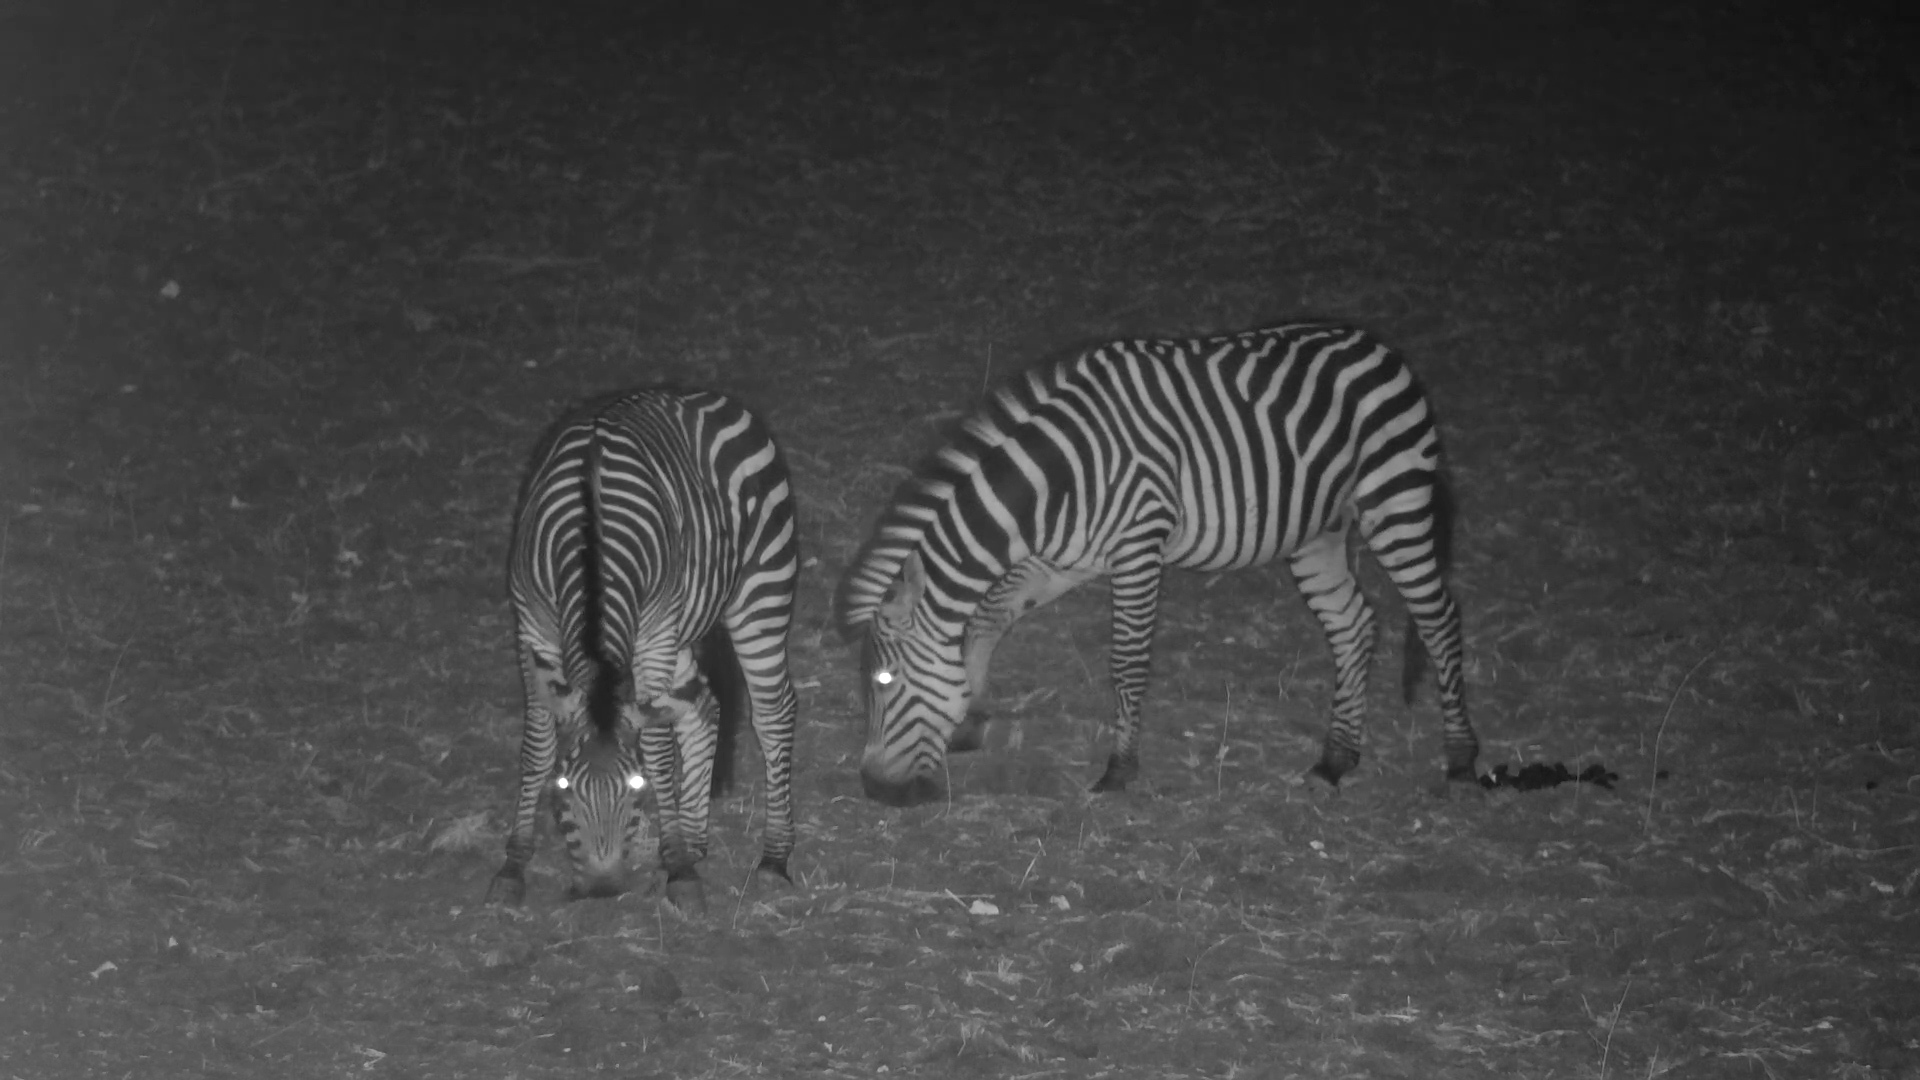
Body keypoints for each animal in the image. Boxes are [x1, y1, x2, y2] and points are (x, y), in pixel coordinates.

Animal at [488, 387, 799, 911]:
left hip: (761, 591)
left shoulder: (653, 635)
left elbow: (656, 749)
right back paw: (695, 842)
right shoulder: (530, 629)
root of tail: (709, 395)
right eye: (562, 785)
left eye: (637, 786)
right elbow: (536, 745)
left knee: (774, 714)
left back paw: (773, 859)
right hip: (683, 628)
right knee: (703, 708)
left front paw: (679, 872)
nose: (601, 890)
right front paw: (513, 866)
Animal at [838, 322, 1479, 807]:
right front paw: (969, 714)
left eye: (883, 681)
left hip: (1395, 503)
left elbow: (1126, 662)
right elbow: (990, 617)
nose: (873, 789)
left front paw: (1118, 770)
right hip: (1318, 531)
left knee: (1440, 619)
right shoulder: (1064, 560)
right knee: (1354, 623)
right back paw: (1337, 758)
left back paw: (1461, 759)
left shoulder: (1138, 547)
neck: (1058, 478)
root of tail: (1382, 349)